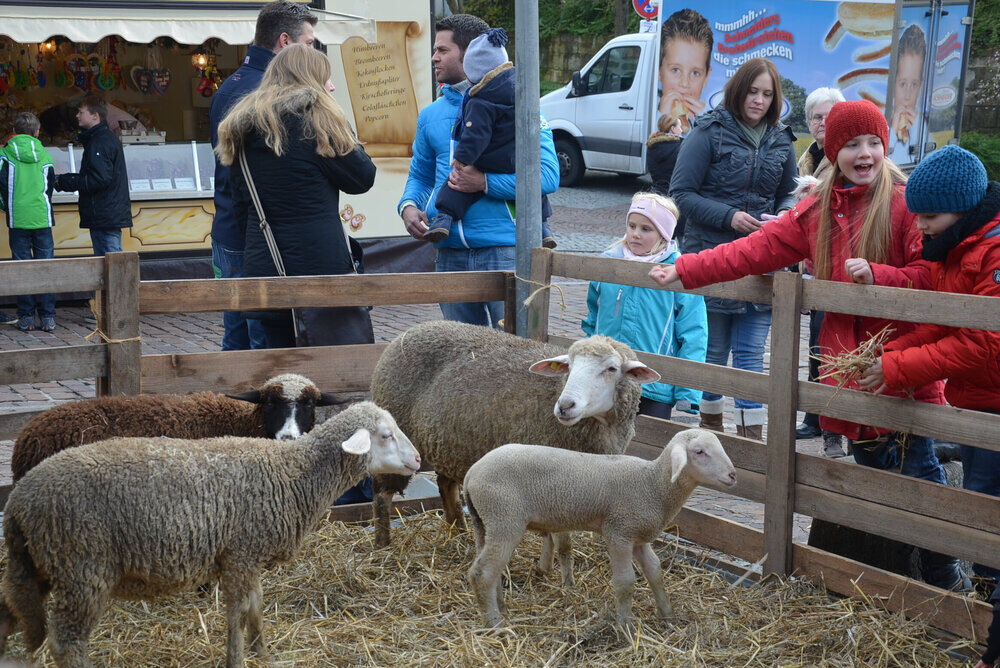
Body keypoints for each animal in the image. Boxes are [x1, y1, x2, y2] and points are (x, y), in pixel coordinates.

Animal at [0, 402, 418, 668]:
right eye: (385, 435)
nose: (416, 460)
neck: (293, 472)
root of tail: (18, 501)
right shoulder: (240, 554)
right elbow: (237, 614)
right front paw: (237, 659)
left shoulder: (248, 556)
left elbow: (256, 607)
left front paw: (263, 653)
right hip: (81, 566)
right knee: (66, 642)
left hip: (39, 565)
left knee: (11, 613)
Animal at [372, 320, 660, 544]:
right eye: (569, 366)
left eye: (611, 369)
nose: (565, 406)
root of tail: (407, 333)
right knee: (382, 495)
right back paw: (383, 544)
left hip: (450, 443)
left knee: (446, 485)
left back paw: (459, 533)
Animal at [462, 430, 736, 628]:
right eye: (699, 451)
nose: (733, 475)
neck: (653, 485)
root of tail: (472, 472)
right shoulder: (619, 532)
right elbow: (626, 582)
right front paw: (624, 626)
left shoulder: (639, 537)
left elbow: (656, 573)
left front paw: (667, 617)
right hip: (505, 518)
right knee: (483, 573)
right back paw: (495, 625)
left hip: (484, 522)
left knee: (487, 570)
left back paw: (501, 610)